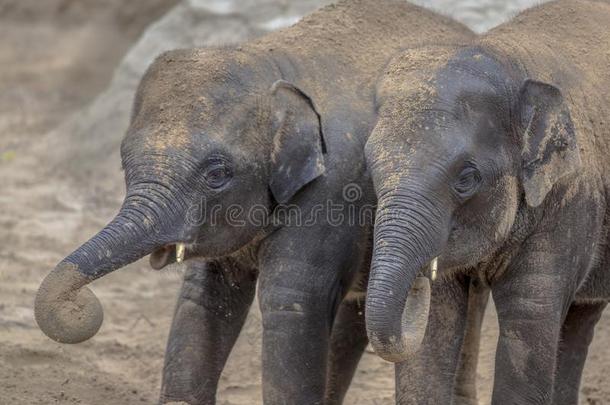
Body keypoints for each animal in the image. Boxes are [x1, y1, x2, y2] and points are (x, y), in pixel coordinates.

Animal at [30, 1, 472, 402]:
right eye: (124, 161)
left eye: (217, 173)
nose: (83, 305)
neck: (274, 63)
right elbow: (202, 300)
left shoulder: (334, 187)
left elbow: (290, 303)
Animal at [364, 0, 604, 402]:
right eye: (369, 165)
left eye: (466, 178)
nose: (414, 286)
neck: (506, 58)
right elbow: (436, 326)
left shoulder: (568, 203)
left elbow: (528, 322)